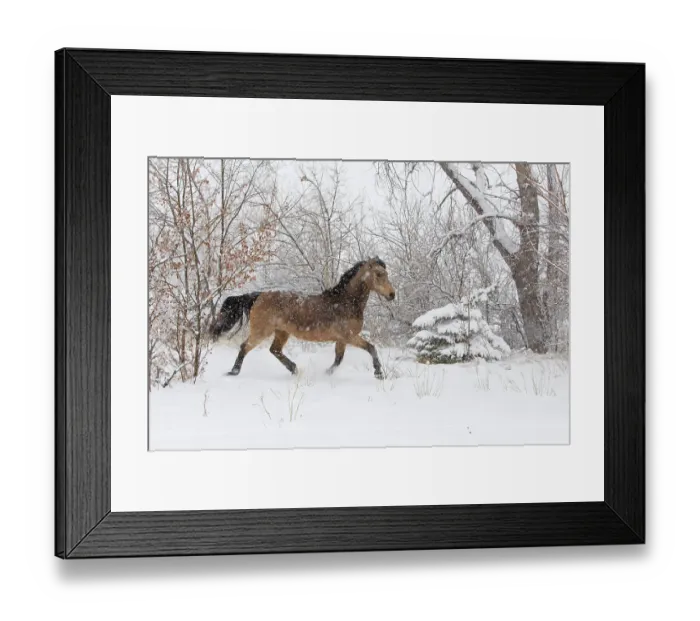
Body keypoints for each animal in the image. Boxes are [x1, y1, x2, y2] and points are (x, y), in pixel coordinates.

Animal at [210, 258, 396, 379]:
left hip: (282, 332)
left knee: (274, 350)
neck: (345, 302)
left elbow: (338, 359)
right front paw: (379, 374)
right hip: (261, 331)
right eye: (379, 274)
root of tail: (259, 296)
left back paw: (294, 369)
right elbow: (371, 348)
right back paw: (233, 372)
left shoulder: (342, 339)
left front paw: (326, 374)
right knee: (245, 347)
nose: (392, 295)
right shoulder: (349, 336)